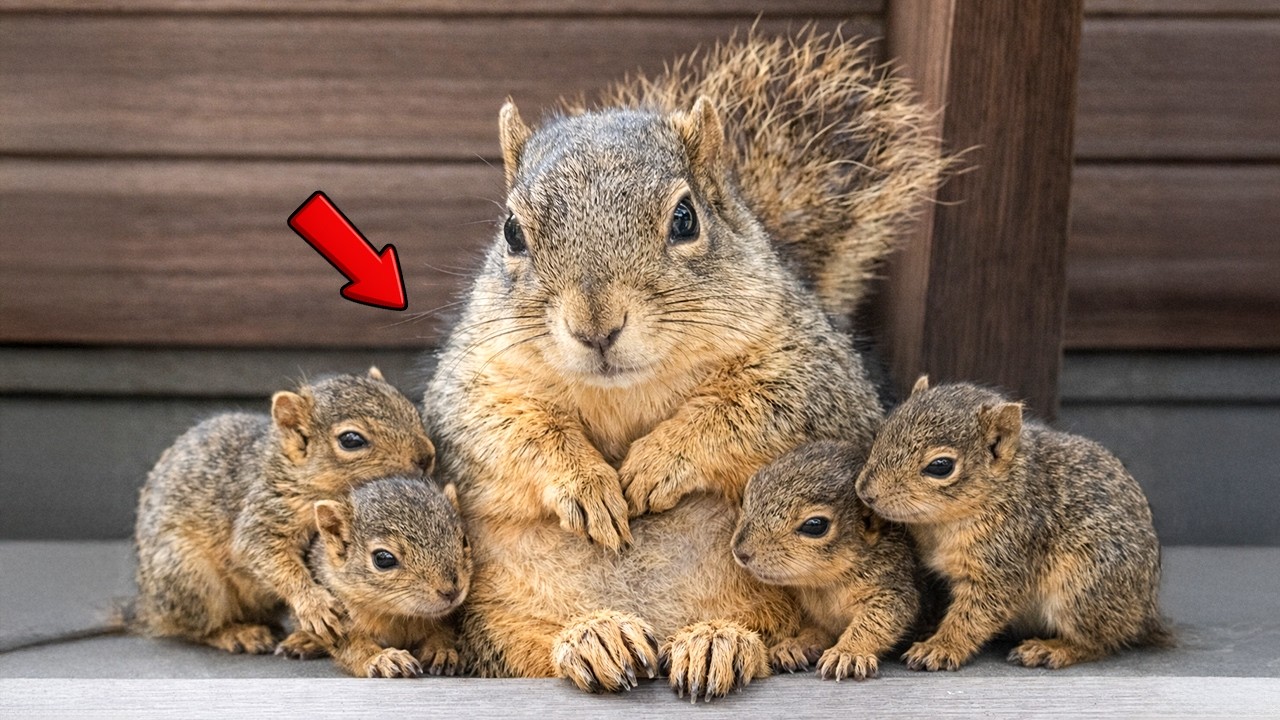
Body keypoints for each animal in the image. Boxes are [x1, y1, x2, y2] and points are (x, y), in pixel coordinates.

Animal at [133, 368, 438, 656]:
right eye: (351, 440)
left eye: (411, 410)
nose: (426, 457)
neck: (295, 473)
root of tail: (147, 607)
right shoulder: (265, 510)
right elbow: (264, 554)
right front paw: (314, 606)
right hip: (189, 576)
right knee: (194, 629)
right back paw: (237, 633)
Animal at [274, 475, 471, 678]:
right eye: (383, 559)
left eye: (464, 540)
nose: (452, 591)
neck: (398, 616)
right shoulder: (337, 610)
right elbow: (352, 645)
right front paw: (381, 658)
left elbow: (444, 630)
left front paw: (443, 650)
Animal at [732, 440, 920, 681]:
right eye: (747, 494)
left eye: (815, 525)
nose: (740, 551)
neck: (824, 586)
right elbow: (816, 631)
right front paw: (794, 645)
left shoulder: (894, 583)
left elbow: (877, 620)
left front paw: (847, 653)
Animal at [855, 377, 1172, 671]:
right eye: (881, 432)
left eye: (940, 466)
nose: (865, 491)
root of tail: (1145, 612)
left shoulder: (1006, 561)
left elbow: (975, 615)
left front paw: (940, 647)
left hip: (1083, 587)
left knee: (1099, 642)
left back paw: (1052, 649)